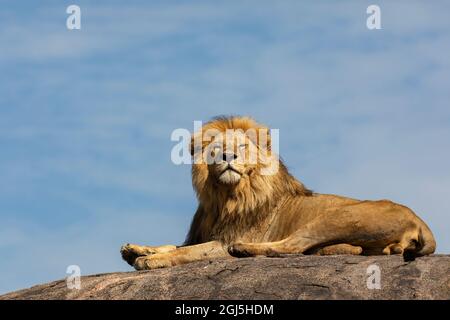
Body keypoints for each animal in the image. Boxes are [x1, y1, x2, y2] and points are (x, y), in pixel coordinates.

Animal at [120, 115, 436, 270]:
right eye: (216, 148)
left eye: (242, 146)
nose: (228, 156)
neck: (226, 198)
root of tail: (420, 221)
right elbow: (175, 245)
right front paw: (135, 249)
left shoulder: (223, 240)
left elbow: (190, 252)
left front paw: (149, 260)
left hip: (337, 217)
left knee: (291, 246)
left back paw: (244, 250)